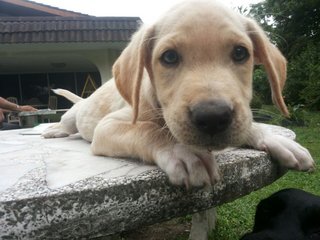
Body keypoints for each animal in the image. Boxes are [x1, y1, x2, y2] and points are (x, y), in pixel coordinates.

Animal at [41, 0, 314, 188]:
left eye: (240, 53)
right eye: (169, 57)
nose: (213, 118)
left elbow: (250, 125)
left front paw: (275, 139)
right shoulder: (107, 127)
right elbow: (148, 129)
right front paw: (181, 151)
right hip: (74, 116)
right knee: (67, 124)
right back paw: (56, 130)